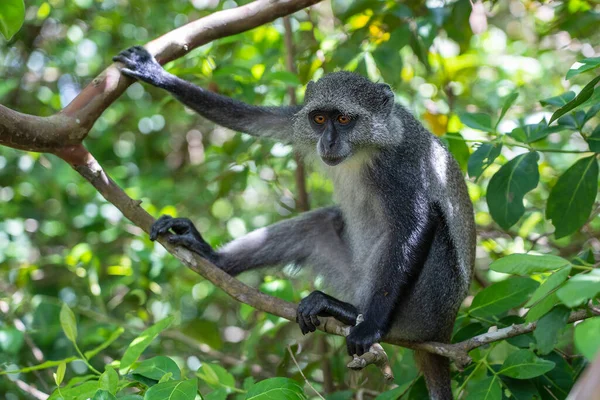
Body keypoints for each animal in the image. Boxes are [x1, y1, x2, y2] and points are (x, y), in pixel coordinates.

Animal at [115, 45, 476, 398]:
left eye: (343, 119)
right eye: (319, 119)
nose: (328, 141)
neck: (366, 149)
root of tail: (442, 333)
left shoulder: (402, 166)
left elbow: (415, 225)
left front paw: (371, 327)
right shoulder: (298, 121)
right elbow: (255, 119)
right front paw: (156, 73)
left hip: (423, 308)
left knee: (432, 230)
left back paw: (345, 312)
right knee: (319, 224)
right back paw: (212, 257)